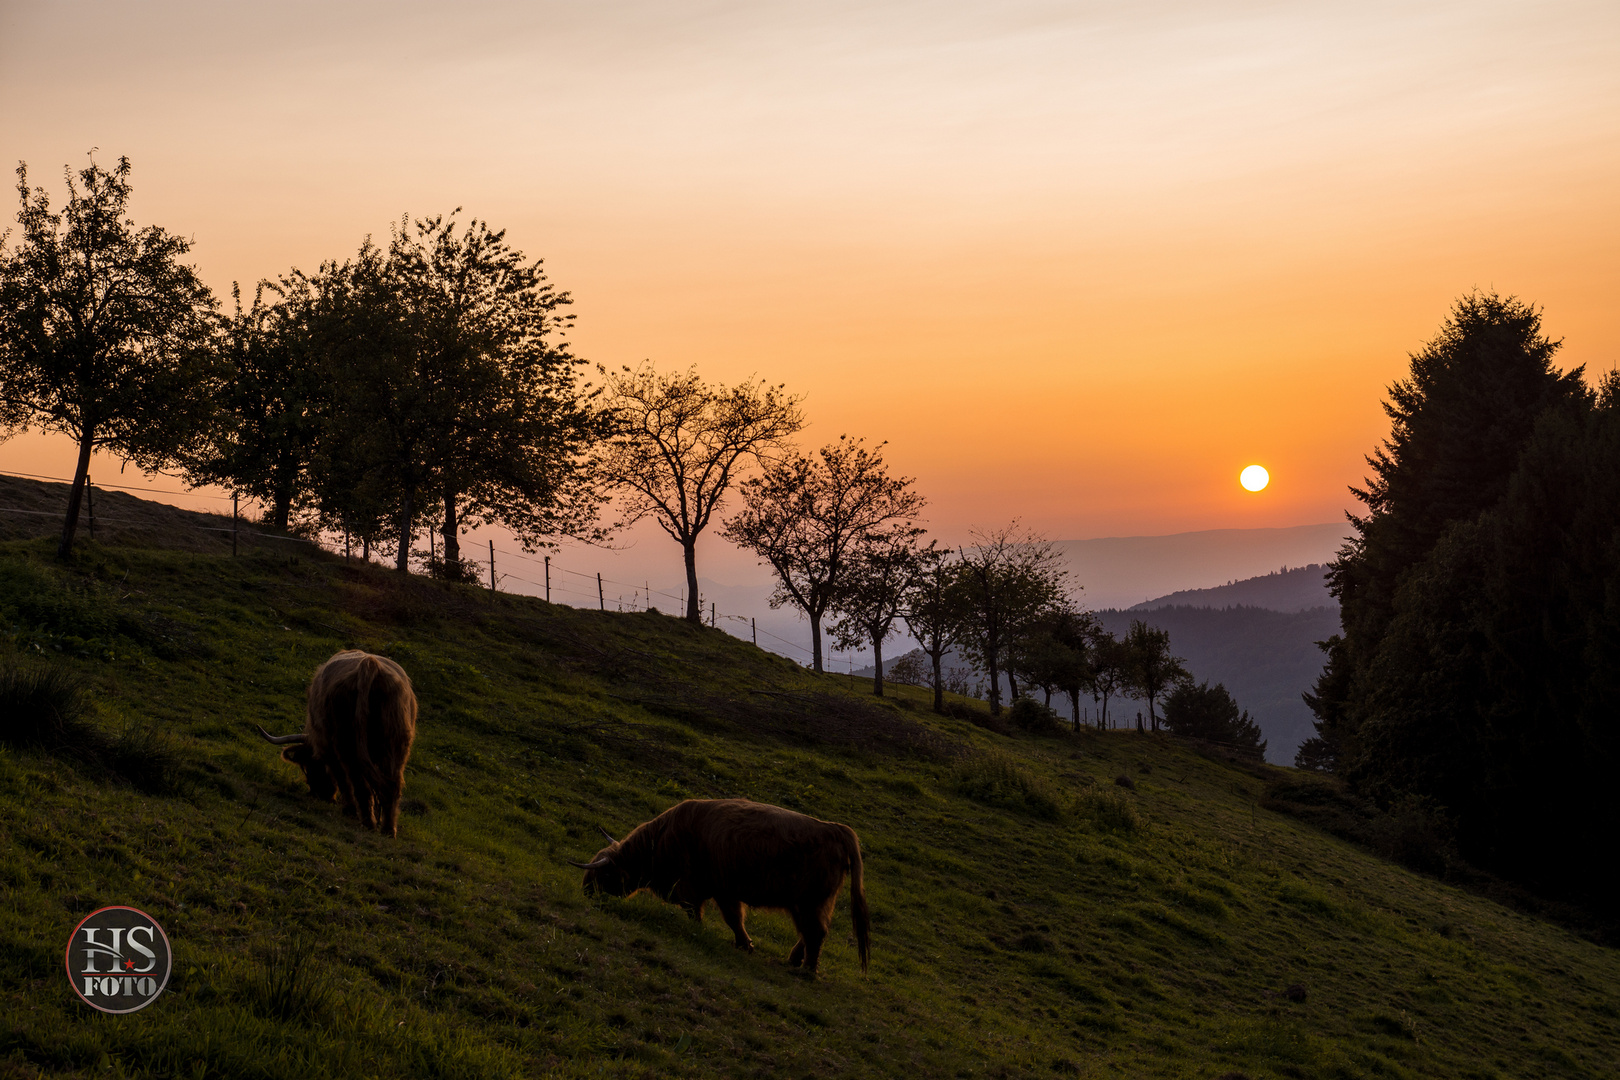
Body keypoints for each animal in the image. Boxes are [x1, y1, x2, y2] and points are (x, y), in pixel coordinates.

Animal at [252, 650, 417, 835]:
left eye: (309, 765)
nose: (318, 793)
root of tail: (369, 664)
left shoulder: (327, 747)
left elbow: (341, 777)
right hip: (395, 743)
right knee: (391, 785)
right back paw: (388, 829)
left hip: (346, 742)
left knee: (359, 784)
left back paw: (364, 820)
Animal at [573, 799, 874, 977]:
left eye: (602, 875)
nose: (585, 893)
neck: (660, 841)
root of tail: (836, 829)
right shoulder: (723, 889)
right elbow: (733, 918)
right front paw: (744, 944)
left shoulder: (701, 887)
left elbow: (715, 916)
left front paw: (734, 941)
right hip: (806, 902)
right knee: (811, 931)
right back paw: (794, 960)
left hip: (809, 901)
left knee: (815, 932)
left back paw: (807, 970)